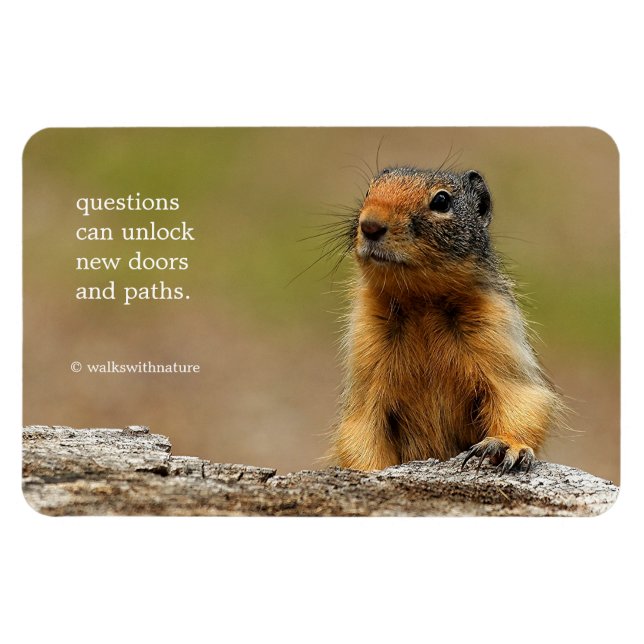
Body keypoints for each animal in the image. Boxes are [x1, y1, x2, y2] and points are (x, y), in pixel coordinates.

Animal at [329, 165, 565, 473]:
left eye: (441, 201)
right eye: (370, 189)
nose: (370, 225)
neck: (421, 303)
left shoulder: (497, 332)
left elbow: (522, 399)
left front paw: (504, 446)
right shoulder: (366, 352)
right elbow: (359, 429)